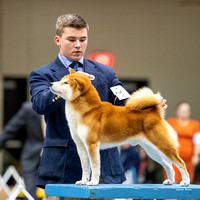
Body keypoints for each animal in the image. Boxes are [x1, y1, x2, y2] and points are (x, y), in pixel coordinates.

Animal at [50, 68, 189, 186]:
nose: (51, 83)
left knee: (180, 163)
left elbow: (94, 167)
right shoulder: (81, 146)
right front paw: (83, 181)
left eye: (65, 83)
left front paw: (93, 182)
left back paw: (186, 182)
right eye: (61, 79)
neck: (87, 111)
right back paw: (170, 181)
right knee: (168, 165)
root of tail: (155, 111)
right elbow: (85, 168)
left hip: (162, 146)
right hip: (152, 150)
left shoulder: (92, 145)